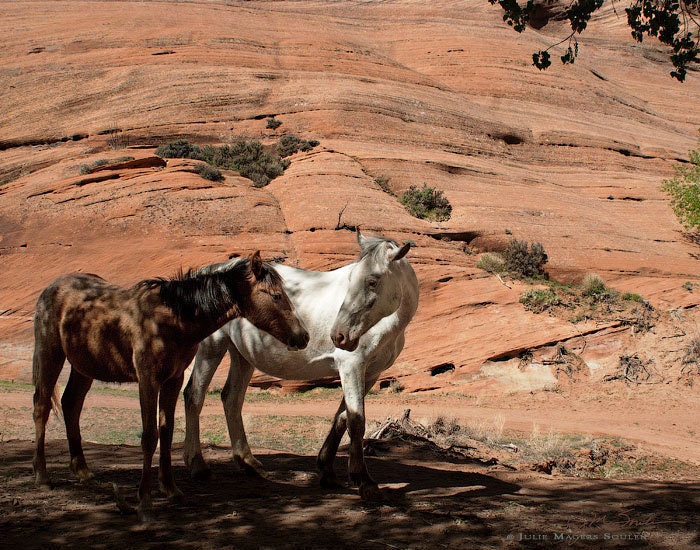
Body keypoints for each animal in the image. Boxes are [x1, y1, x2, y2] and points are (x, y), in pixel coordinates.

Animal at [32, 251, 309, 521]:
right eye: (276, 295)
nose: (303, 336)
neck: (172, 319)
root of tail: (53, 286)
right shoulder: (148, 380)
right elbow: (149, 436)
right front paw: (145, 502)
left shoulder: (173, 380)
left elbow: (166, 431)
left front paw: (170, 489)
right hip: (50, 355)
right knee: (41, 408)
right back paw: (42, 477)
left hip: (84, 367)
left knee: (71, 405)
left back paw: (82, 471)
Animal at [183, 231, 419, 499]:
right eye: (350, 278)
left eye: (372, 281)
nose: (338, 336)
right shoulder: (352, 366)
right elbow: (357, 421)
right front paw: (364, 481)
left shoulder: (369, 373)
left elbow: (342, 418)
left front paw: (327, 472)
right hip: (212, 346)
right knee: (194, 395)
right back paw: (198, 465)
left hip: (242, 355)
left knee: (231, 399)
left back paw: (249, 463)